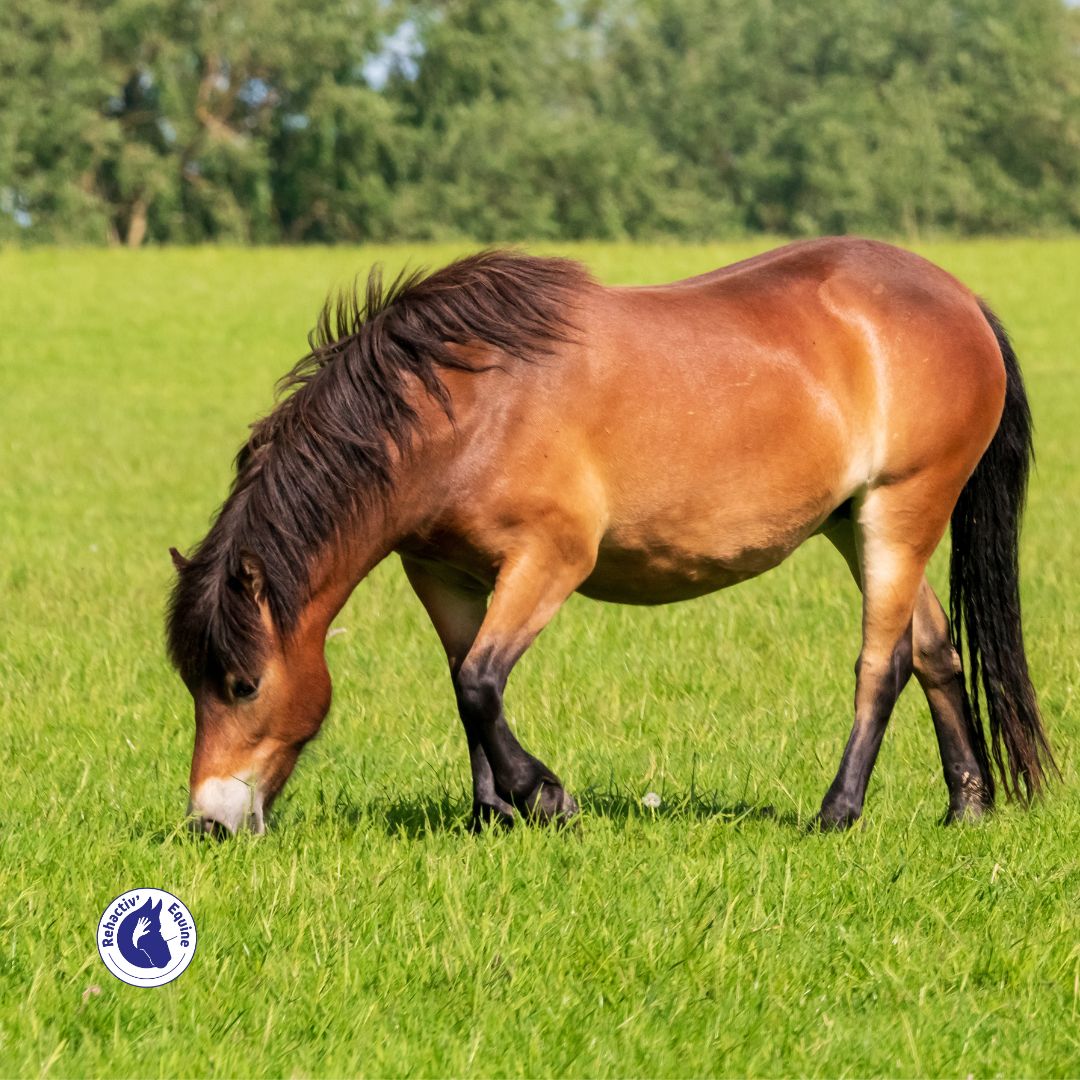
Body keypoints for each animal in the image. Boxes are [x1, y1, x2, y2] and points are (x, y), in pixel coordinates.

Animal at [166, 240, 1054, 838]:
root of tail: (961, 299)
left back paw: (837, 812)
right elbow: (464, 684)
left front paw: (547, 799)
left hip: (904, 508)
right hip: (855, 521)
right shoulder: (444, 574)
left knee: (884, 663)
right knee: (935, 650)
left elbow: (480, 683)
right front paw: (490, 815)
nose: (210, 822)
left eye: (241, 684)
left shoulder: (550, 560)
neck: (464, 408)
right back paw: (967, 805)